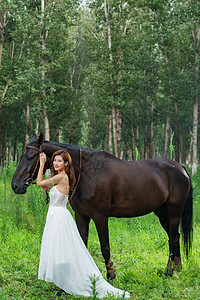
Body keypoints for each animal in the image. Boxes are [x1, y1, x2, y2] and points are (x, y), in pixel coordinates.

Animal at [11, 134, 193, 278]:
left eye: (30, 157)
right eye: (21, 156)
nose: (15, 186)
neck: (86, 172)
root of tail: (180, 167)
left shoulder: (100, 217)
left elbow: (105, 247)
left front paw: (110, 275)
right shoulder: (81, 215)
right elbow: (82, 244)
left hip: (174, 212)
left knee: (172, 237)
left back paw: (169, 272)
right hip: (162, 213)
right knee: (175, 237)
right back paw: (177, 268)